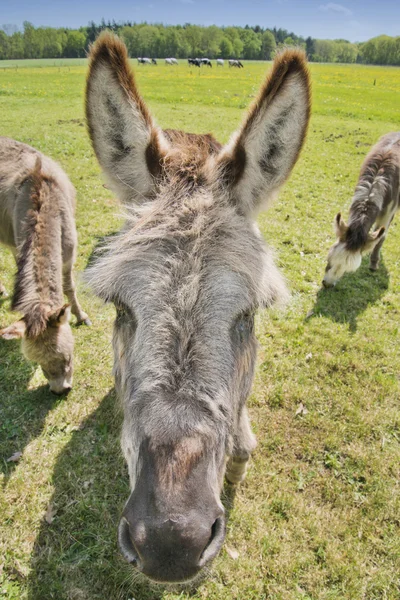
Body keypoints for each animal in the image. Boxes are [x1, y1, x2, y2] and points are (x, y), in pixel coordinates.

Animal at [0, 137, 89, 394]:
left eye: (66, 355)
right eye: (38, 362)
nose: (60, 391)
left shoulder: (69, 254)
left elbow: (69, 287)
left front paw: (81, 316)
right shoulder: (17, 244)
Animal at [322, 134, 400, 288]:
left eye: (346, 270)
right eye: (330, 258)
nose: (327, 284)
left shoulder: (388, 213)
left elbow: (382, 236)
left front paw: (374, 263)